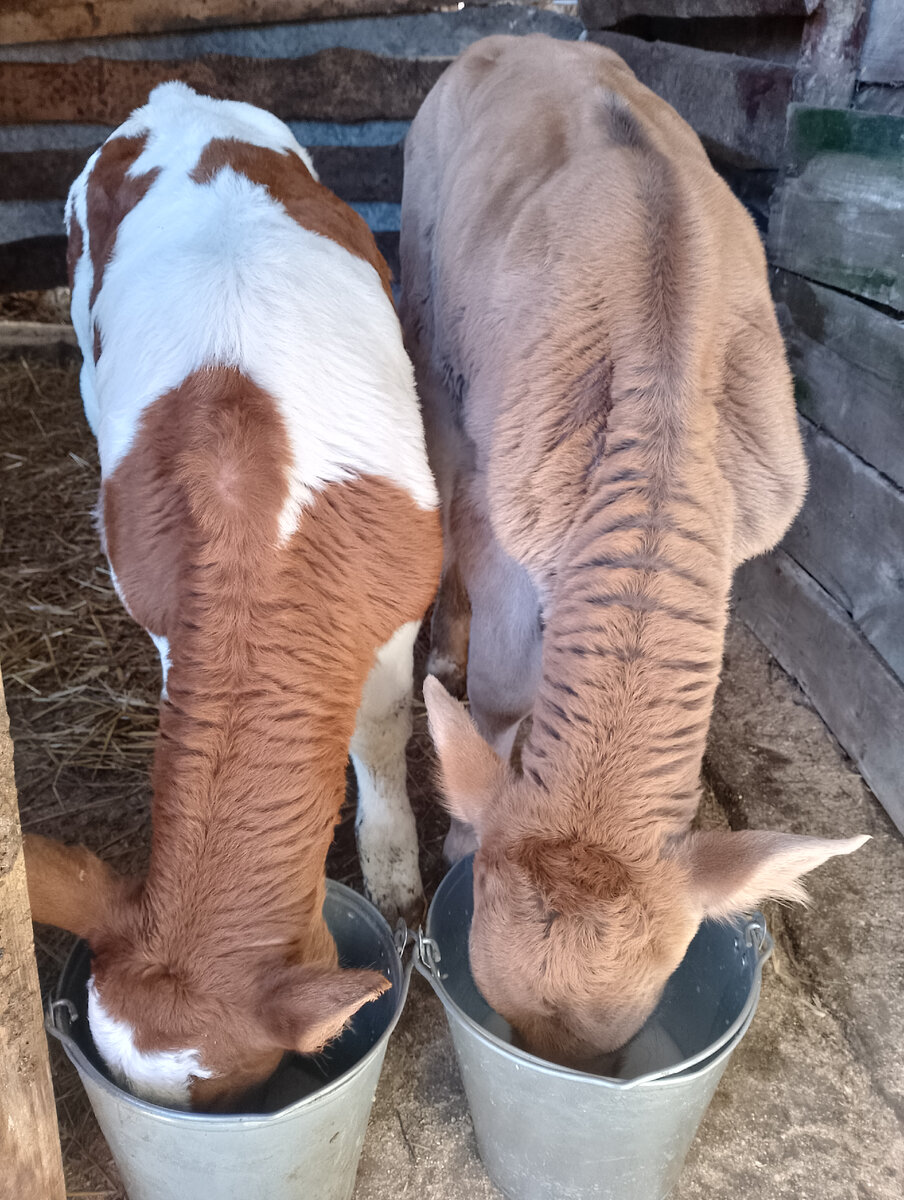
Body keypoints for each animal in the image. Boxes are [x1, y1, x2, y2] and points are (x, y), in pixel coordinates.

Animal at [22, 82, 439, 1104]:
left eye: (236, 1092)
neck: (263, 545)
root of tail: (174, 98)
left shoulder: (401, 612)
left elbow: (380, 735)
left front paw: (395, 875)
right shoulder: (165, 620)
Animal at [400, 37, 869, 1070]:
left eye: (622, 1039)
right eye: (504, 1016)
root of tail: (522, 37)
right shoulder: (503, 516)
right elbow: (501, 696)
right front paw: (460, 839)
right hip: (426, 325)